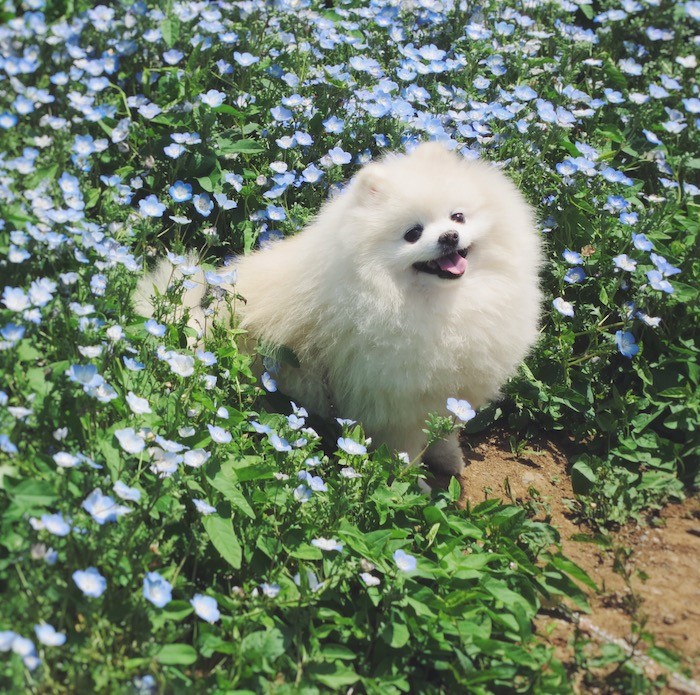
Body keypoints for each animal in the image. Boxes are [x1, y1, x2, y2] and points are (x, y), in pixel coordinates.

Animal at [134, 141, 544, 478]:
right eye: (413, 233)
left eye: (458, 216)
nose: (449, 237)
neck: (441, 304)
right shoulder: (400, 406)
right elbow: (406, 454)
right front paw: (409, 487)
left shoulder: (449, 395)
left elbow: (445, 434)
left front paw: (450, 459)